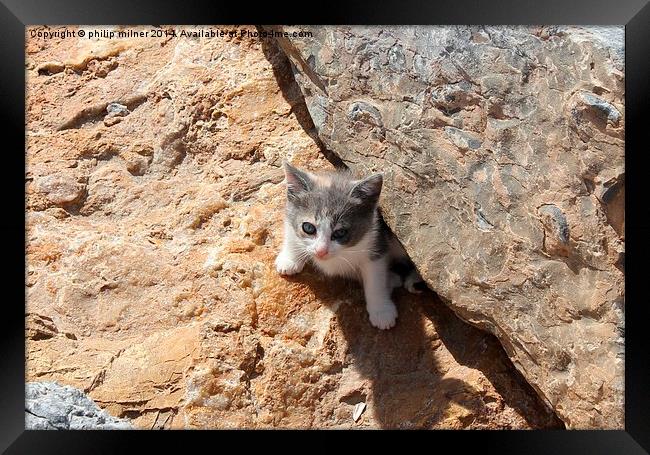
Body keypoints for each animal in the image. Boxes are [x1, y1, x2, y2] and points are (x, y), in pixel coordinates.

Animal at [274, 162, 422, 330]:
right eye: (308, 228)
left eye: (340, 233)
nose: (321, 251)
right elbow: (290, 230)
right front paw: (289, 259)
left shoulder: (376, 243)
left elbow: (375, 281)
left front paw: (381, 311)